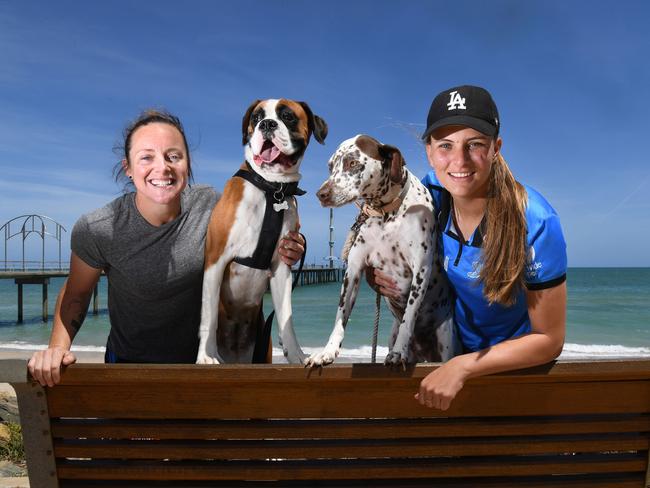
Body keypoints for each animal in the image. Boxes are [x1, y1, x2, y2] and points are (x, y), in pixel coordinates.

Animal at [195, 99, 326, 364]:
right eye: (256, 117)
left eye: (288, 116)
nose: (267, 124)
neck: (272, 188)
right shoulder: (215, 260)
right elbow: (209, 315)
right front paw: (205, 355)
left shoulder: (281, 266)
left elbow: (286, 317)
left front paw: (295, 354)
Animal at [306, 135, 460, 368]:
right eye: (331, 166)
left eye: (352, 163)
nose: (321, 194)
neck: (387, 214)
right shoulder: (353, 271)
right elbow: (340, 317)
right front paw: (327, 351)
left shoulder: (420, 271)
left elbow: (409, 316)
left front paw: (398, 352)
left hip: (446, 342)